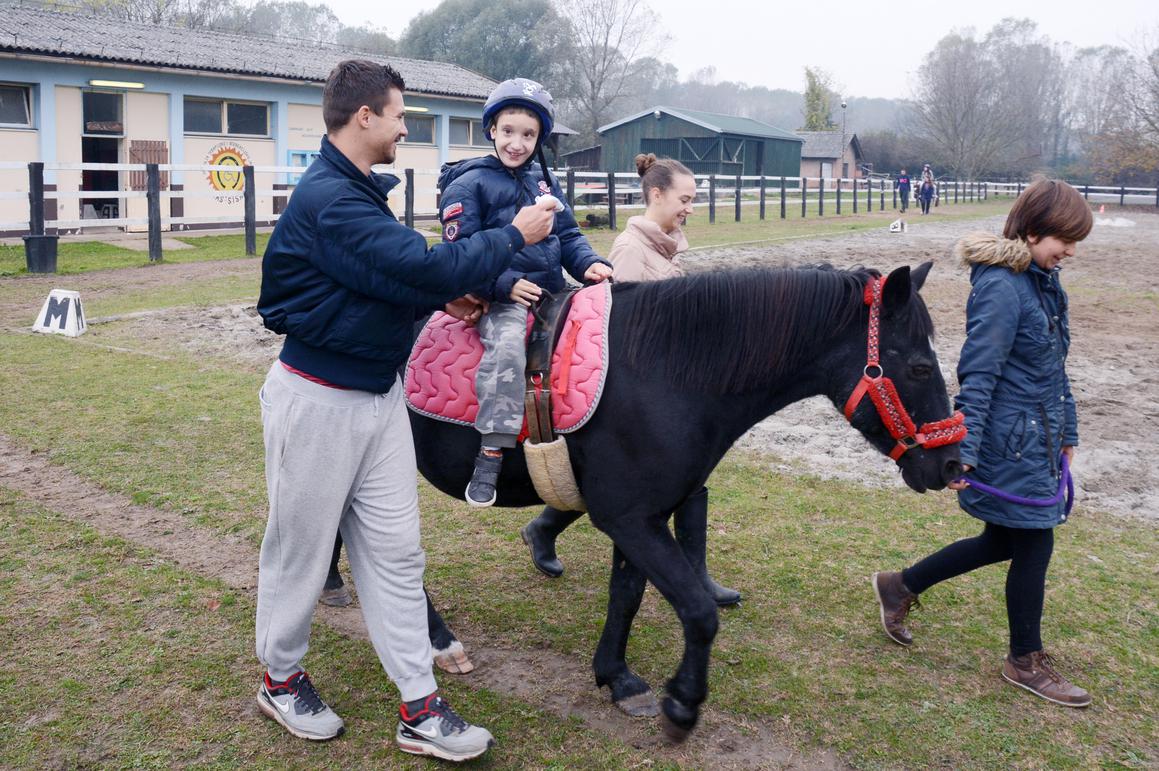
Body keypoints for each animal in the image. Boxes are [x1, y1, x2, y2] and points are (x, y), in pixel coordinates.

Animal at [407, 263, 959, 742]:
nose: (953, 465)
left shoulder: (641, 518)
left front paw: (618, 677)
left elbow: (627, 596)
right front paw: (683, 703)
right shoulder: (630, 519)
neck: (662, 370)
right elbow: (698, 611)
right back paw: (442, 644)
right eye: (919, 367)